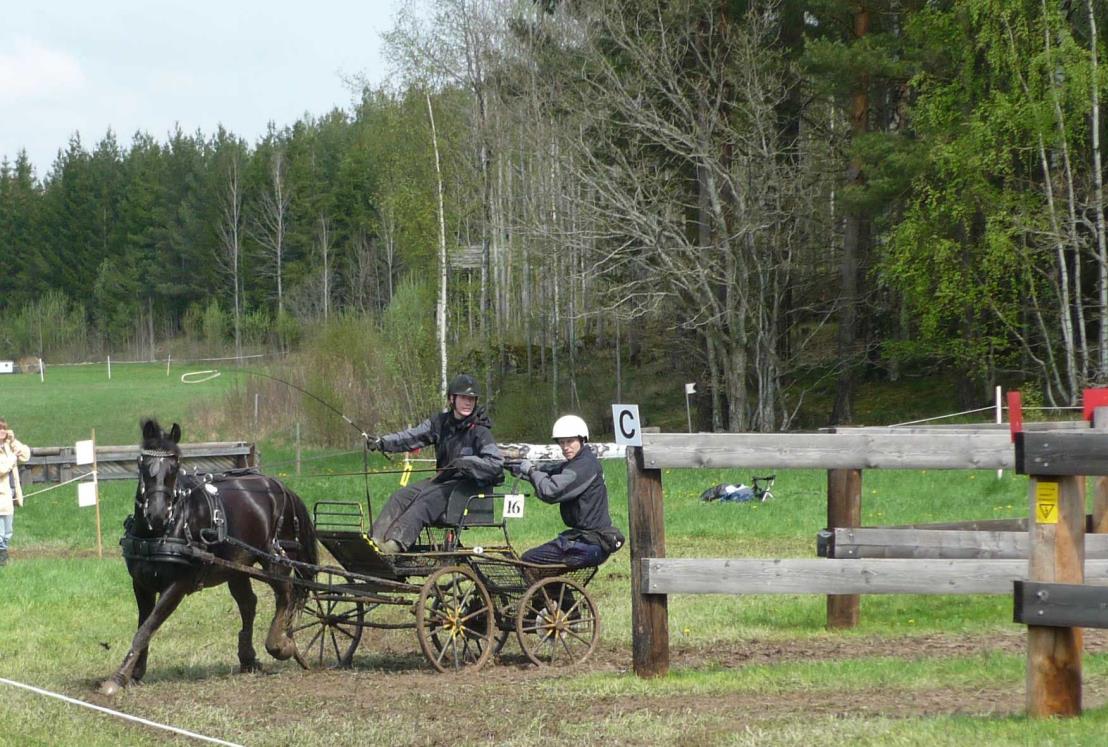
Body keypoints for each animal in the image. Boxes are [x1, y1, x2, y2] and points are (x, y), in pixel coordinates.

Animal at [99, 418, 319, 691]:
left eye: (175, 466)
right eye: (142, 463)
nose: (157, 514)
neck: (165, 530)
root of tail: (280, 487)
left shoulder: (178, 585)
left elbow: (146, 628)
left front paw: (118, 677)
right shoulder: (141, 584)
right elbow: (143, 626)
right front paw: (135, 671)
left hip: (275, 559)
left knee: (285, 593)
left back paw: (280, 645)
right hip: (236, 566)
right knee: (249, 603)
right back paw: (248, 658)